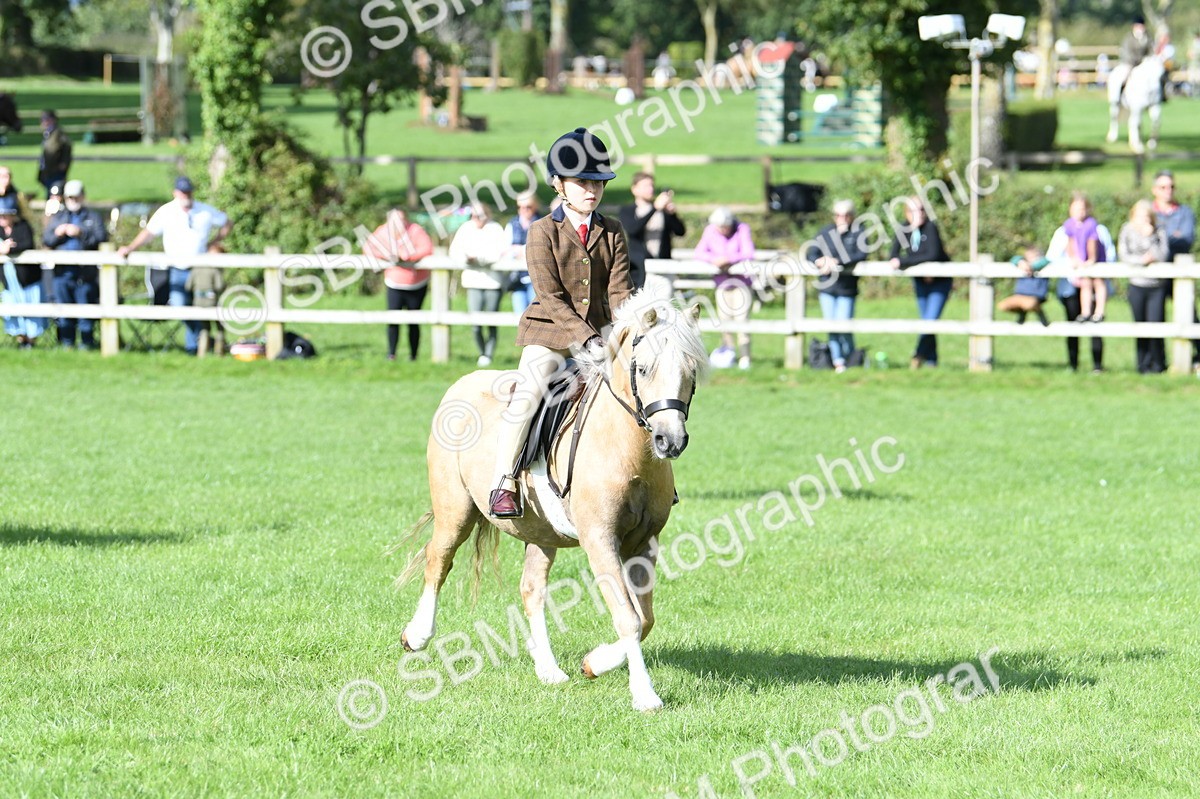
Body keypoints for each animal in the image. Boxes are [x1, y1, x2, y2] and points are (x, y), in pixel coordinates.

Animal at [396, 292, 707, 711]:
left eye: (691, 369)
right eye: (642, 369)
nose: (669, 441)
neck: (628, 450)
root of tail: (462, 383)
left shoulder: (644, 542)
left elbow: (644, 619)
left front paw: (594, 663)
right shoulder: (600, 540)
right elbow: (627, 617)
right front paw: (645, 695)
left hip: (541, 534)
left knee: (531, 590)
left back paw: (548, 669)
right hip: (455, 511)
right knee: (438, 561)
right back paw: (417, 635)